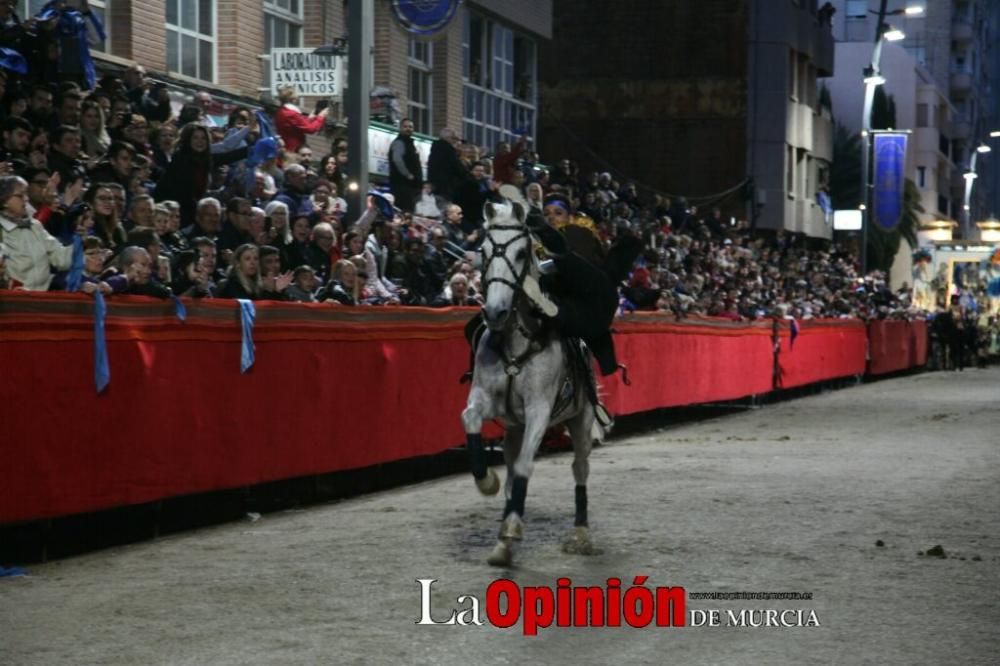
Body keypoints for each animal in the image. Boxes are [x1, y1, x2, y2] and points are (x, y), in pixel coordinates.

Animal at [460, 198, 600, 564]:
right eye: (483, 250)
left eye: (522, 252)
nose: (494, 312)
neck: (516, 340)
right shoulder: (485, 399)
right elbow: (471, 420)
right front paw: (488, 483)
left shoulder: (539, 410)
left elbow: (525, 465)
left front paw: (511, 528)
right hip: (513, 429)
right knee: (511, 471)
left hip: (581, 420)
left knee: (580, 469)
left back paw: (581, 534)